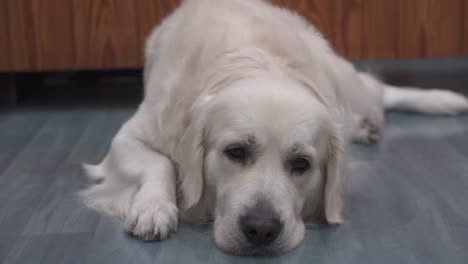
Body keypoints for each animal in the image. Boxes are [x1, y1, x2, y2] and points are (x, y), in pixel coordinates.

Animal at [80, 0, 468, 256]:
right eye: (235, 152)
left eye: (302, 164)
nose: (261, 229)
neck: (261, 62)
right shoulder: (132, 134)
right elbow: (158, 162)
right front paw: (153, 208)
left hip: (344, 79)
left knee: (378, 89)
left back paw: (443, 100)